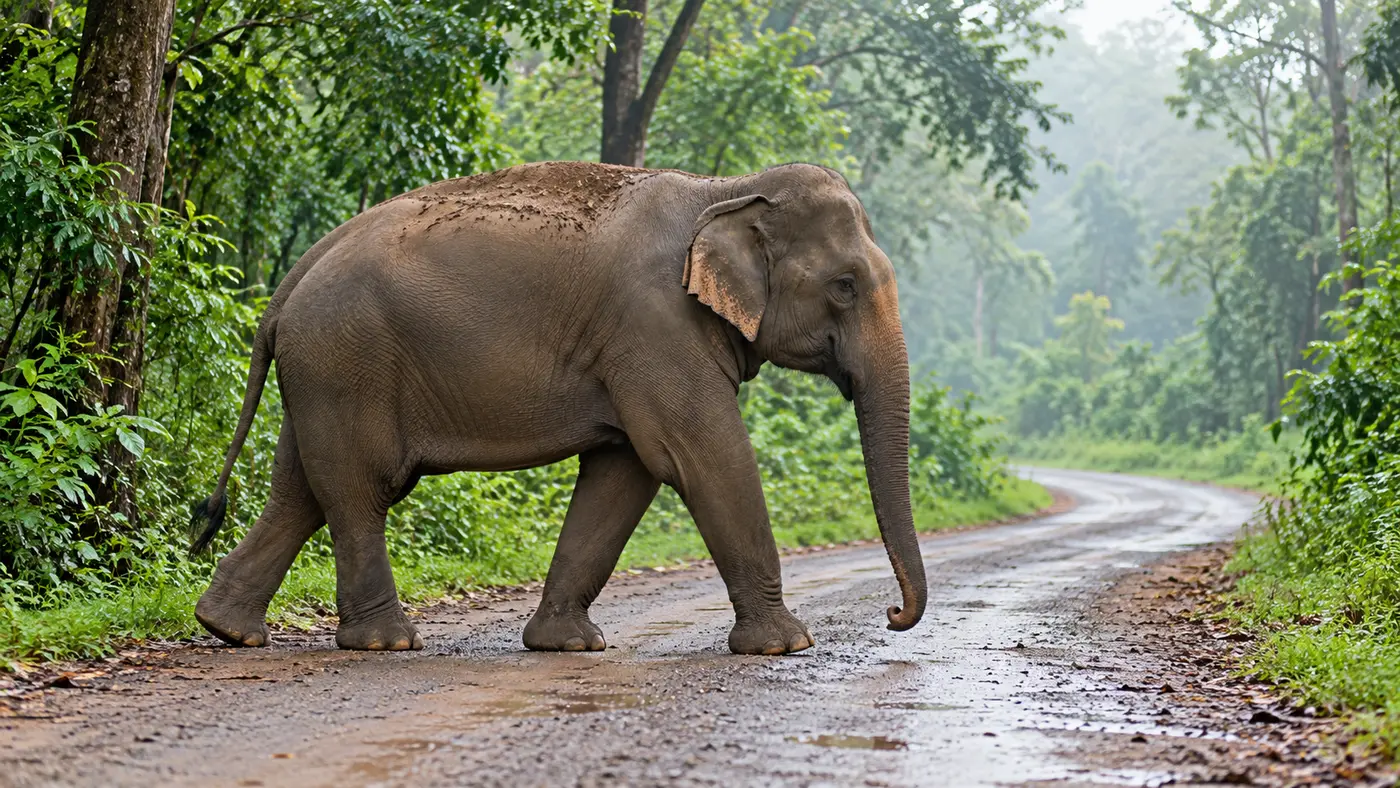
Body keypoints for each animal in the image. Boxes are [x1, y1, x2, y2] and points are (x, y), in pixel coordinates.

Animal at [189, 160, 927, 656]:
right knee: (360, 488)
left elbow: (624, 472)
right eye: (844, 286)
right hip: (348, 360)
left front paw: (566, 644)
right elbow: (701, 454)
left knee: (300, 488)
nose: (893, 614)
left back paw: (227, 628)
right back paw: (387, 643)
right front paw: (786, 645)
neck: (723, 188)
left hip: (320, 369)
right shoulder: (654, 327)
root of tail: (288, 286)